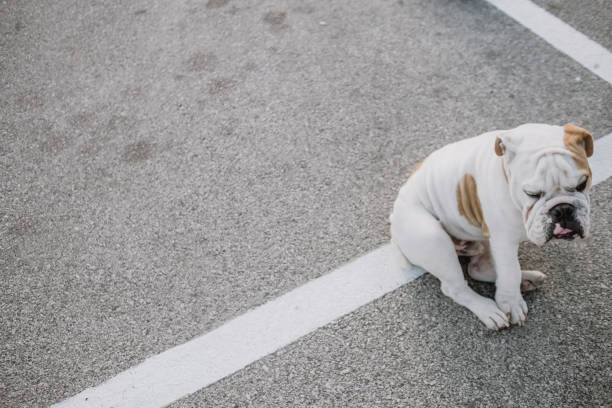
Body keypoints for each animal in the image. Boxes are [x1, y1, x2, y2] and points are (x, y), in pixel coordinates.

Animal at [392, 122, 592, 330]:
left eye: (582, 184)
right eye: (532, 193)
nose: (562, 209)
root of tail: (393, 219)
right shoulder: (503, 241)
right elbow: (510, 271)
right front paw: (512, 303)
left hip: (481, 239)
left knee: (478, 269)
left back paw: (527, 279)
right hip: (434, 239)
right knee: (455, 287)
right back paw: (488, 310)